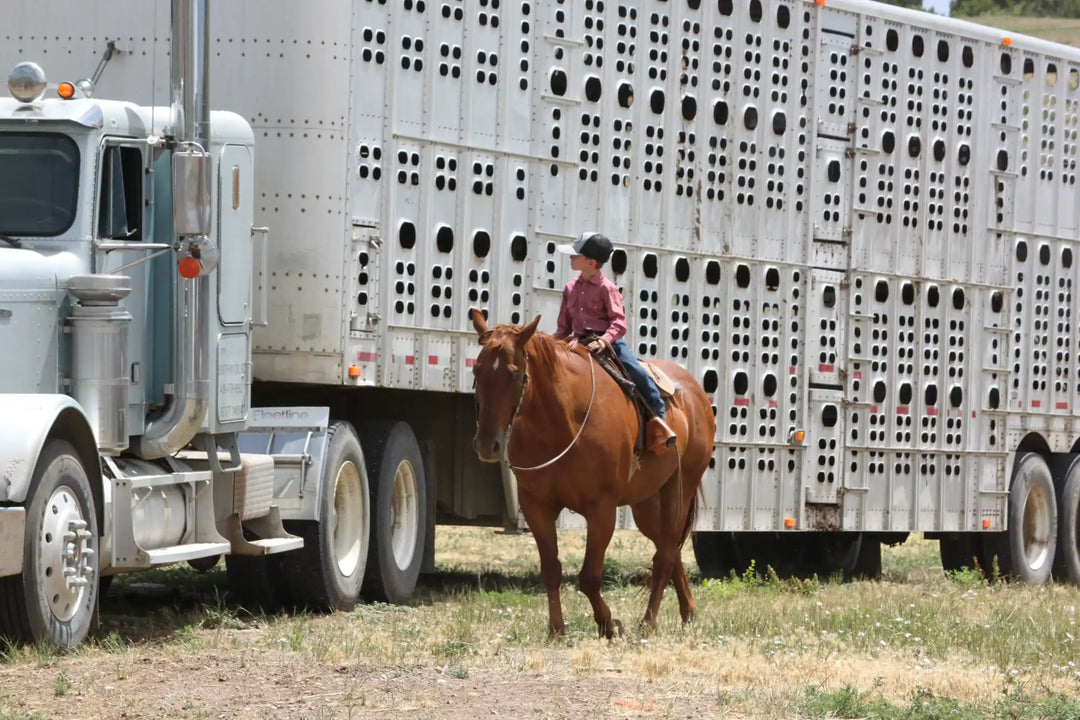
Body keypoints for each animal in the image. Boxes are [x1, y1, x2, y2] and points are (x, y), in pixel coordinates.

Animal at [469, 310, 716, 639]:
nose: (487, 444)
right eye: (477, 371)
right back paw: (688, 611)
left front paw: (610, 624)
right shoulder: (537, 507)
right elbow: (551, 569)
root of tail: (695, 393)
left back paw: (648, 622)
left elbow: (589, 577)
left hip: (680, 489)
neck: (561, 423)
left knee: (665, 554)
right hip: (646, 503)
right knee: (669, 547)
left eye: (513, 373)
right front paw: (556, 630)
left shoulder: (602, 509)